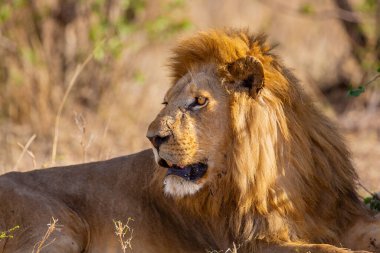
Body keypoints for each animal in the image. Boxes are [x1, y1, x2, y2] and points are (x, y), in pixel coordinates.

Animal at [0, 28, 378, 252]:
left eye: (199, 101)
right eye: (166, 102)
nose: (153, 138)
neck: (276, 174)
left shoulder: (340, 215)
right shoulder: (252, 241)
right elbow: (326, 249)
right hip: (57, 229)